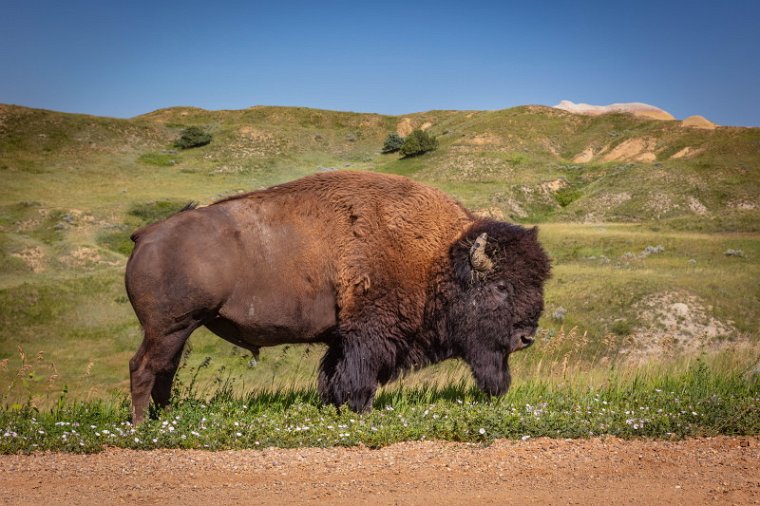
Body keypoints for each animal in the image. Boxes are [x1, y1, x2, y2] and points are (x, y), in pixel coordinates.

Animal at [127, 170, 548, 422]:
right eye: (501, 286)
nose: (526, 337)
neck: (436, 257)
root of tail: (147, 235)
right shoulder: (368, 335)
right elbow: (358, 375)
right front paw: (360, 408)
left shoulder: (341, 339)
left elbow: (334, 375)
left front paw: (335, 404)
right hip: (169, 328)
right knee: (144, 367)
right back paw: (142, 424)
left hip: (180, 330)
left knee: (165, 370)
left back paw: (168, 417)